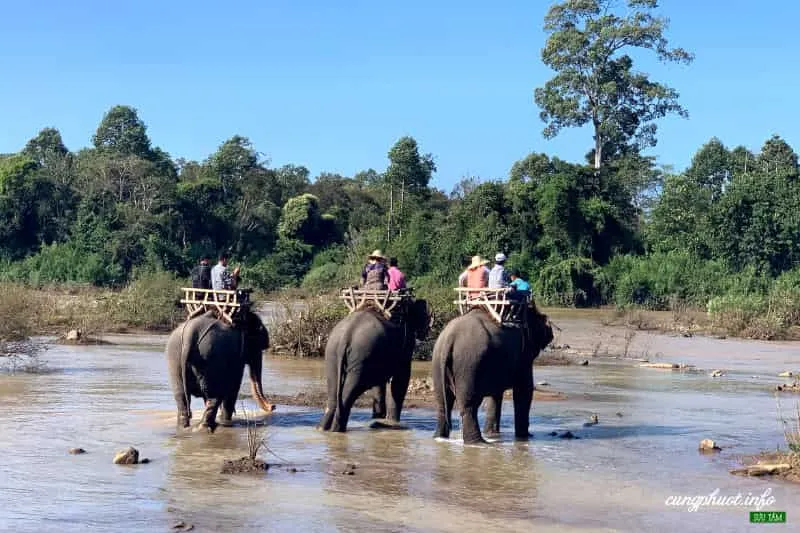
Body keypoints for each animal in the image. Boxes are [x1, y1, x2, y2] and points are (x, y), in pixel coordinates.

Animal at [318, 300, 432, 432]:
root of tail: (346, 336)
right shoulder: (406, 345)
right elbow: (401, 380)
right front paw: (392, 423)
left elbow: (380, 382)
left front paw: (380, 419)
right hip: (362, 356)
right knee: (351, 391)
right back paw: (336, 430)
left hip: (333, 354)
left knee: (333, 393)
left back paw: (322, 429)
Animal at [432, 302, 556, 442]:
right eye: (540, 317)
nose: (550, 329)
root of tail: (450, 338)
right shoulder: (523, 356)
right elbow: (524, 391)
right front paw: (525, 437)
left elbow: (496, 394)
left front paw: (492, 434)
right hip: (468, 364)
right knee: (470, 405)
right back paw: (478, 442)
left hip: (439, 360)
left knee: (443, 403)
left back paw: (440, 437)